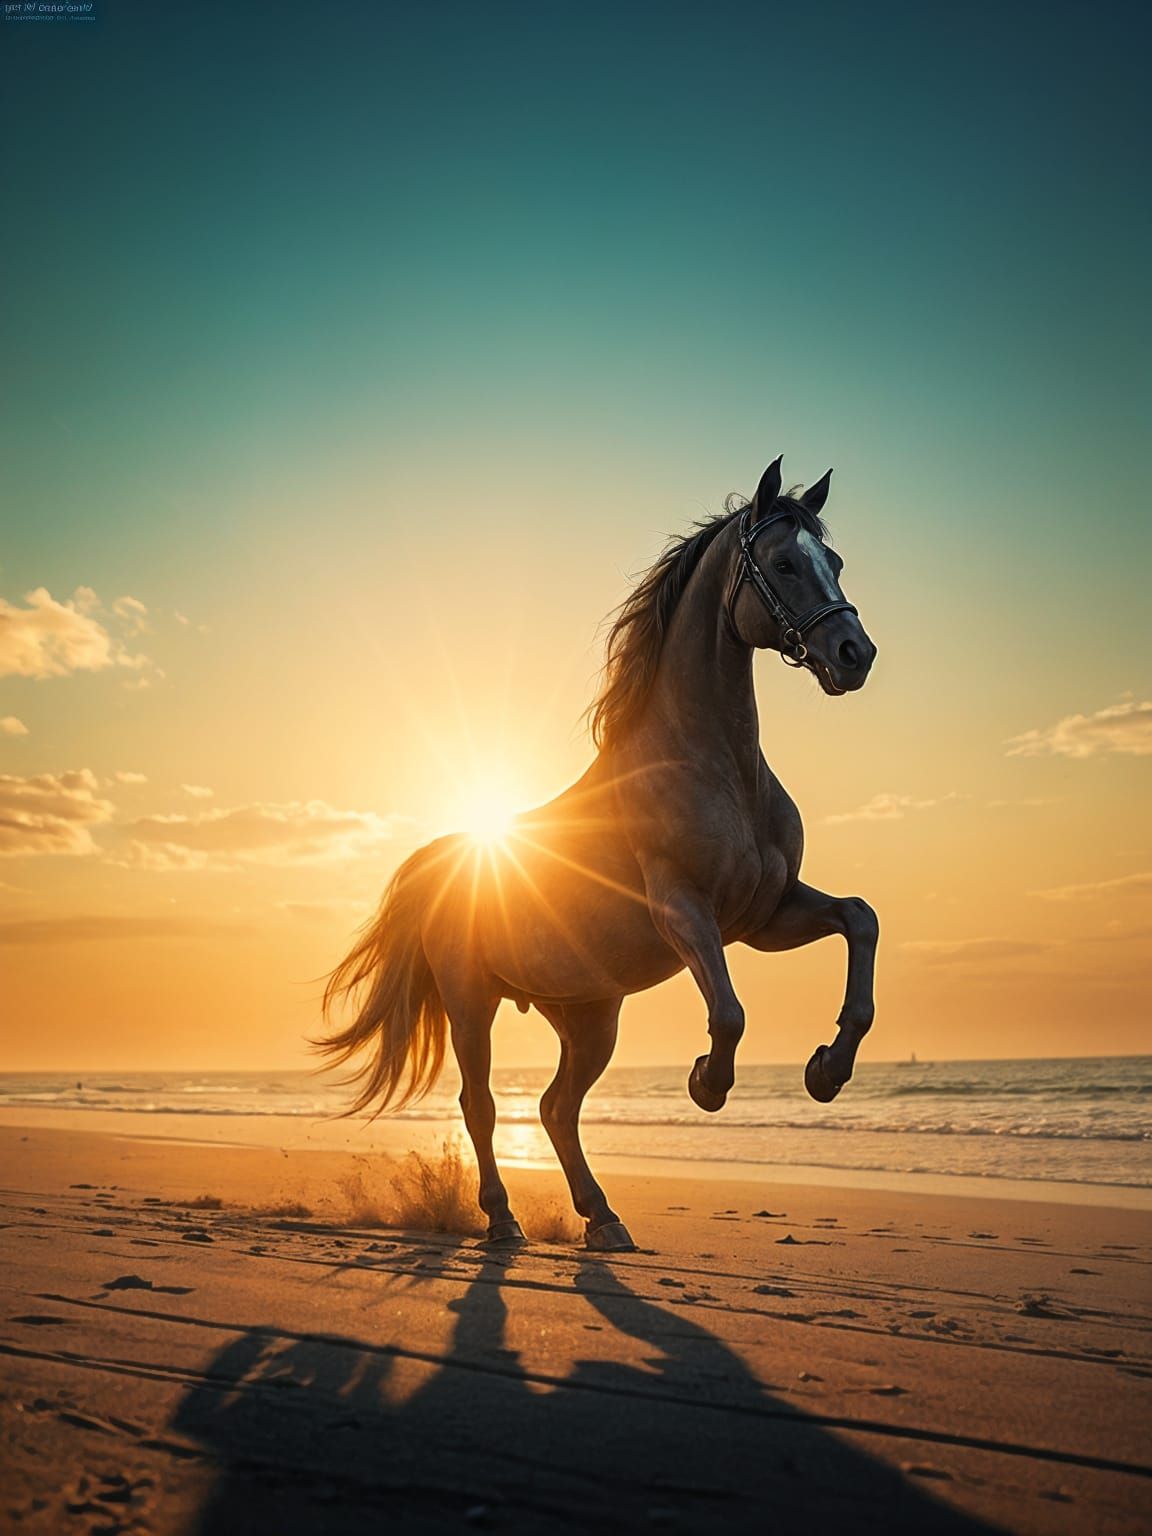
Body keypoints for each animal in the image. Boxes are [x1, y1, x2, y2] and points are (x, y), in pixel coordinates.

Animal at [318, 455, 878, 1251]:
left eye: (834, 562)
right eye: (782, 564)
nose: (853, 654)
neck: (714, 768)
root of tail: (444, 862)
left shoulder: (765, 916)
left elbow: (860, 918)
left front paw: (826, 1070)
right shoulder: (687, 914)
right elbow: (730, 1013)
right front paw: (706, 1082)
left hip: (588, 1017)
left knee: (555, 1106)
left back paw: (603, 1217)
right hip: (472, 1001)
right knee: (482, 1104)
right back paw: (504, 1220)